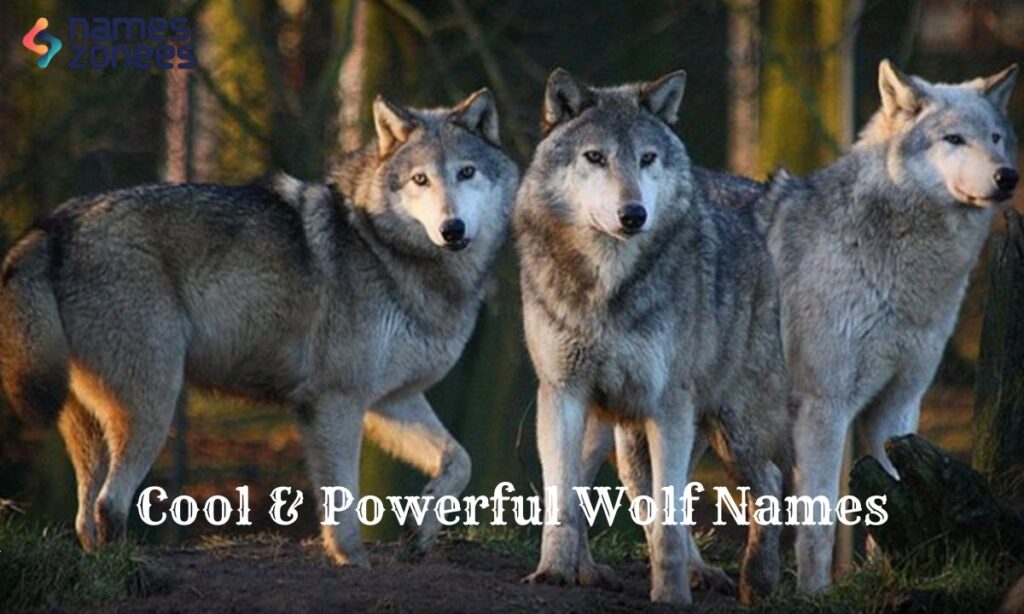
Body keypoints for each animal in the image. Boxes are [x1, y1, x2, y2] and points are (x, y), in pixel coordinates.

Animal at [0, 89, 519, 567]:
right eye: (420, 179)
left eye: (466, 173)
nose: (452, 229)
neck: (384, 248)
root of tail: (53, 224)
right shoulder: (336, 400)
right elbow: (343, 500)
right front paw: (353, 561)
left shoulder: (390, 402)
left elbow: (460, 460)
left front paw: (420, 530)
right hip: (154, 405)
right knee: (109, 504)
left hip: (94, 418)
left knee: (86, 515)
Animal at [515, 68, 790, 605]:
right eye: (595, 157)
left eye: (647, 158)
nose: (634, 214)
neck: (608, 286)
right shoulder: (561, 393)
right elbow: (562, 500)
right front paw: (554, 572)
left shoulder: (668, 405)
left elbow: (668, 520)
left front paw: (671, 596)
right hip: (617, 433)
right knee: (622, 492)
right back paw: (597, 570)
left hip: (730, 429)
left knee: (766, 480)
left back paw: (757, 578)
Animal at [754, 61, 1019, 592]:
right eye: (954, 139)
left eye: (996, 138)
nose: (1007, 177)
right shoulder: (824, 407)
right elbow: (819, 522)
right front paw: (815, 594)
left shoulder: (898, 404)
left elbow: (889, 502)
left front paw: (891, 575)